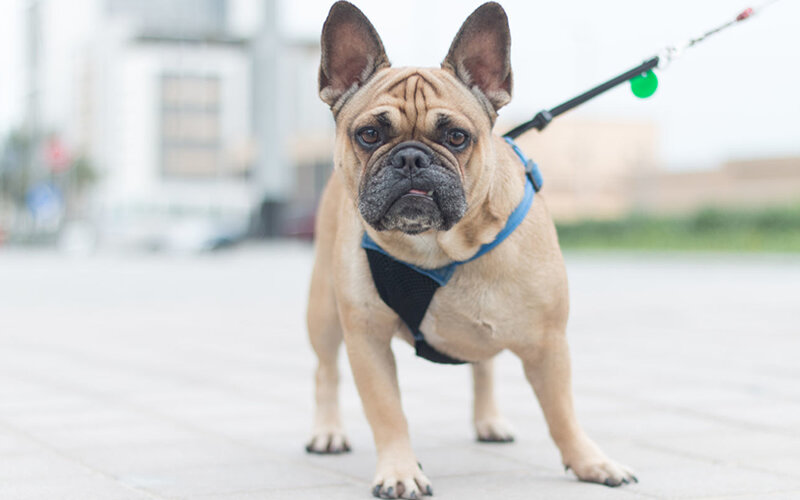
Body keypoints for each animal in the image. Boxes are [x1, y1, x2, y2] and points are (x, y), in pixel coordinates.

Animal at [306, 1, 636, 498]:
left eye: (457, 137)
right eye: (368, 134)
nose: (411, 158)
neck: (436, 248)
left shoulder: (548, 342)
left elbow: (561, 411)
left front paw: (589, 461)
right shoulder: (367, 338)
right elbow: (387, 411)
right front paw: (400, 470)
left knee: (483, 366)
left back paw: (489, 422)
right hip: (325, 311)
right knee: (327, 369)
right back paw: (327, 432)